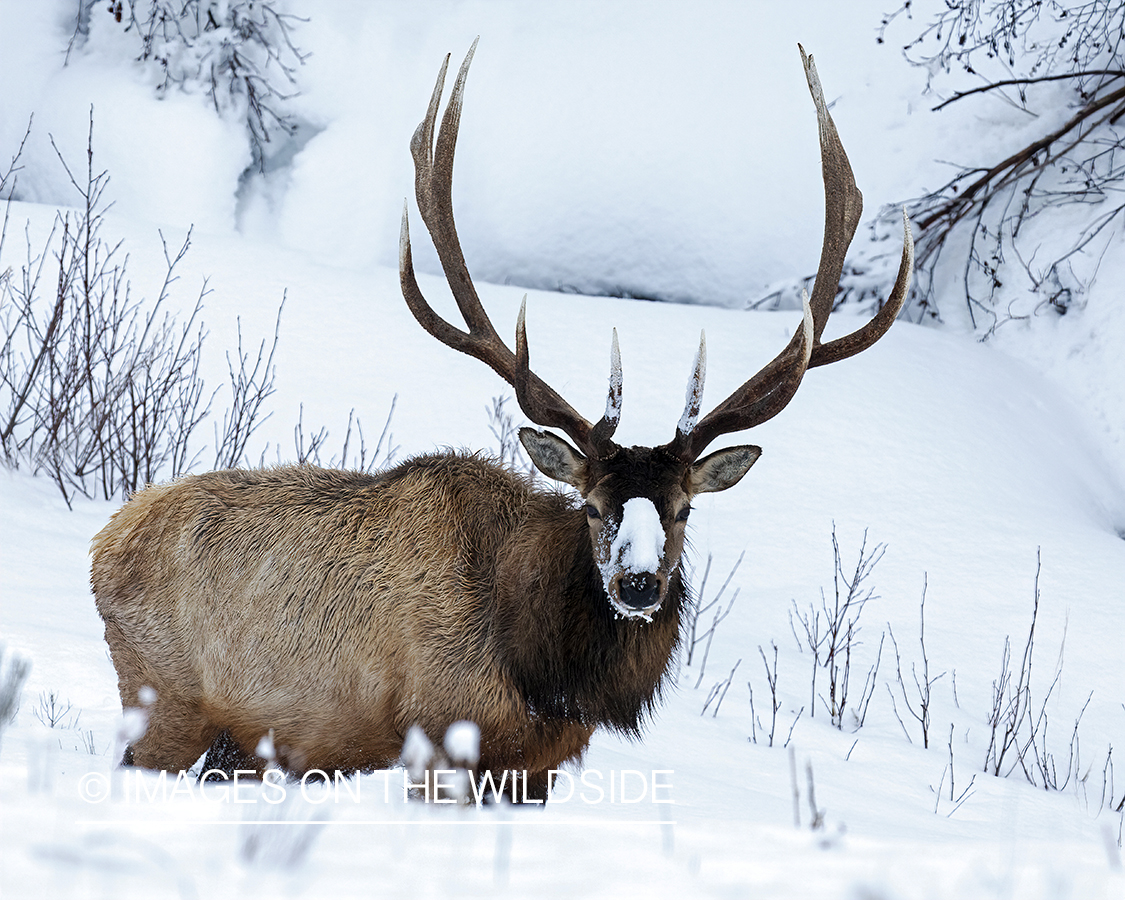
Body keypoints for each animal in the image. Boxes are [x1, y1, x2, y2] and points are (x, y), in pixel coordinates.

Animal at [90, 42, 913, 801]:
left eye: (682, 509)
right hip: (164, 699)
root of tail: (106, 540)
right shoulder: (436, 740)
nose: (638, 582)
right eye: (592, 506)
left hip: (237, 745)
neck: (543, 679)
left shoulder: (537, 769)